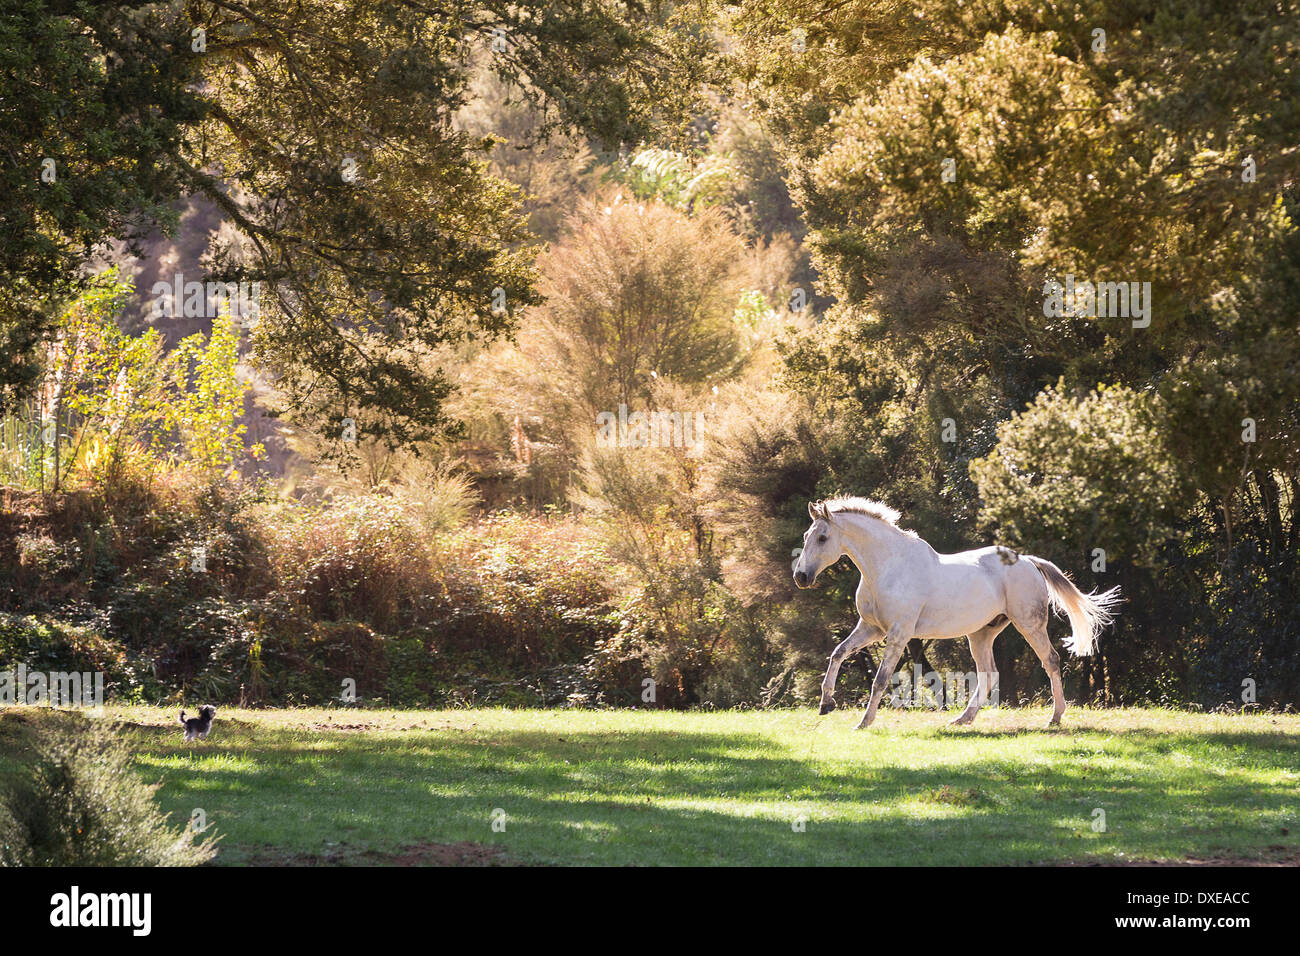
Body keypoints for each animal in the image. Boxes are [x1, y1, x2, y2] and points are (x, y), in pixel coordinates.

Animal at [790, 496, 1118, 728]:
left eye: (822, 538)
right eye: (806, 536)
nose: (801, 577)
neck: (887, 566)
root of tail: (1027, 560)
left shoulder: (898, 634)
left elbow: (880, 679)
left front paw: (864, 722)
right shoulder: (870, 629)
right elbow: (837, 654)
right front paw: (826, 704)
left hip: (1029, 625)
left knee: (1050, 660)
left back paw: (1055, 717)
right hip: (981, 634)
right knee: (989, 673)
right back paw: (963, 719)